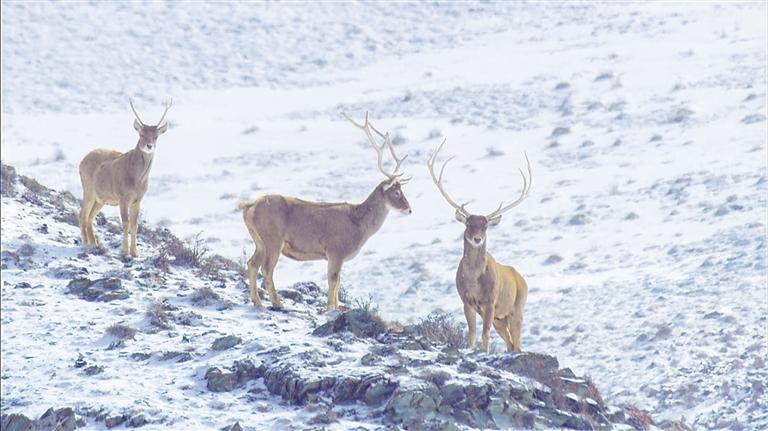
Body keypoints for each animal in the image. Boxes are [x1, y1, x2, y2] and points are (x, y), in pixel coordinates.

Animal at [79, 99, 172, 258]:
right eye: (141, 134)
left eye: (156, 136)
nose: (149, 146)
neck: (137, 181)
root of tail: (81, 161)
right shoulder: (122, 197)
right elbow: (125, 223)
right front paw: (124, 251)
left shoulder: (138, 200)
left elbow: (135, 225)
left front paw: (135, 252)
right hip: (88, 189)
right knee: (83, 215)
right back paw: (86, 242)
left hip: (100, 198)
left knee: (90, 217)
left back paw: (94, 243)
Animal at [240, 112, 412, 310]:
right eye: (397, 192)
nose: (409, 209)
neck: (359, 226)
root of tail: (248, 207)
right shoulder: (335, 250)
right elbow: (333, 280)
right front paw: (331, 307)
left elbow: (338, 283)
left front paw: (336, 306)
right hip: (273, 238)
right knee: (267, 269)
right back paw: (277, 303)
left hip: (259, 241)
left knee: (252, 263)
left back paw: (257, 301)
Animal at [428, 140, 532, 352]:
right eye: (468, 224)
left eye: (485, 226)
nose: (477, 239)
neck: (474, 281)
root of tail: (521, 279)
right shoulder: (466, 301)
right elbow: (472, 335)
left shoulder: (490, 301)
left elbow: (484, 335)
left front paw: (484, 353)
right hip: (500, 319)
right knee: (510, 344)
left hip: (516, 308)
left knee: (517, 344)